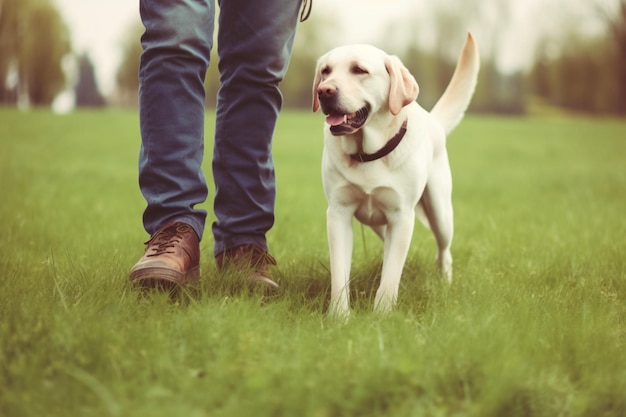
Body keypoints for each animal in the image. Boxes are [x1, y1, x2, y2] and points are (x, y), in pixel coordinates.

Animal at [312, 34, 478, 314]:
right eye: (325, 71)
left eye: (359, 70)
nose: (324, 91)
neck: (368, 153)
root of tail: (433, 120)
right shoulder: (338, 214)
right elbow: (339, 273)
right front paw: (339, 315)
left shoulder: (401, 217)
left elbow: (391, 275)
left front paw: (382, 313)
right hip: (379, 224)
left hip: (440, 212)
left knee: (443, 251)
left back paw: (444, 281)